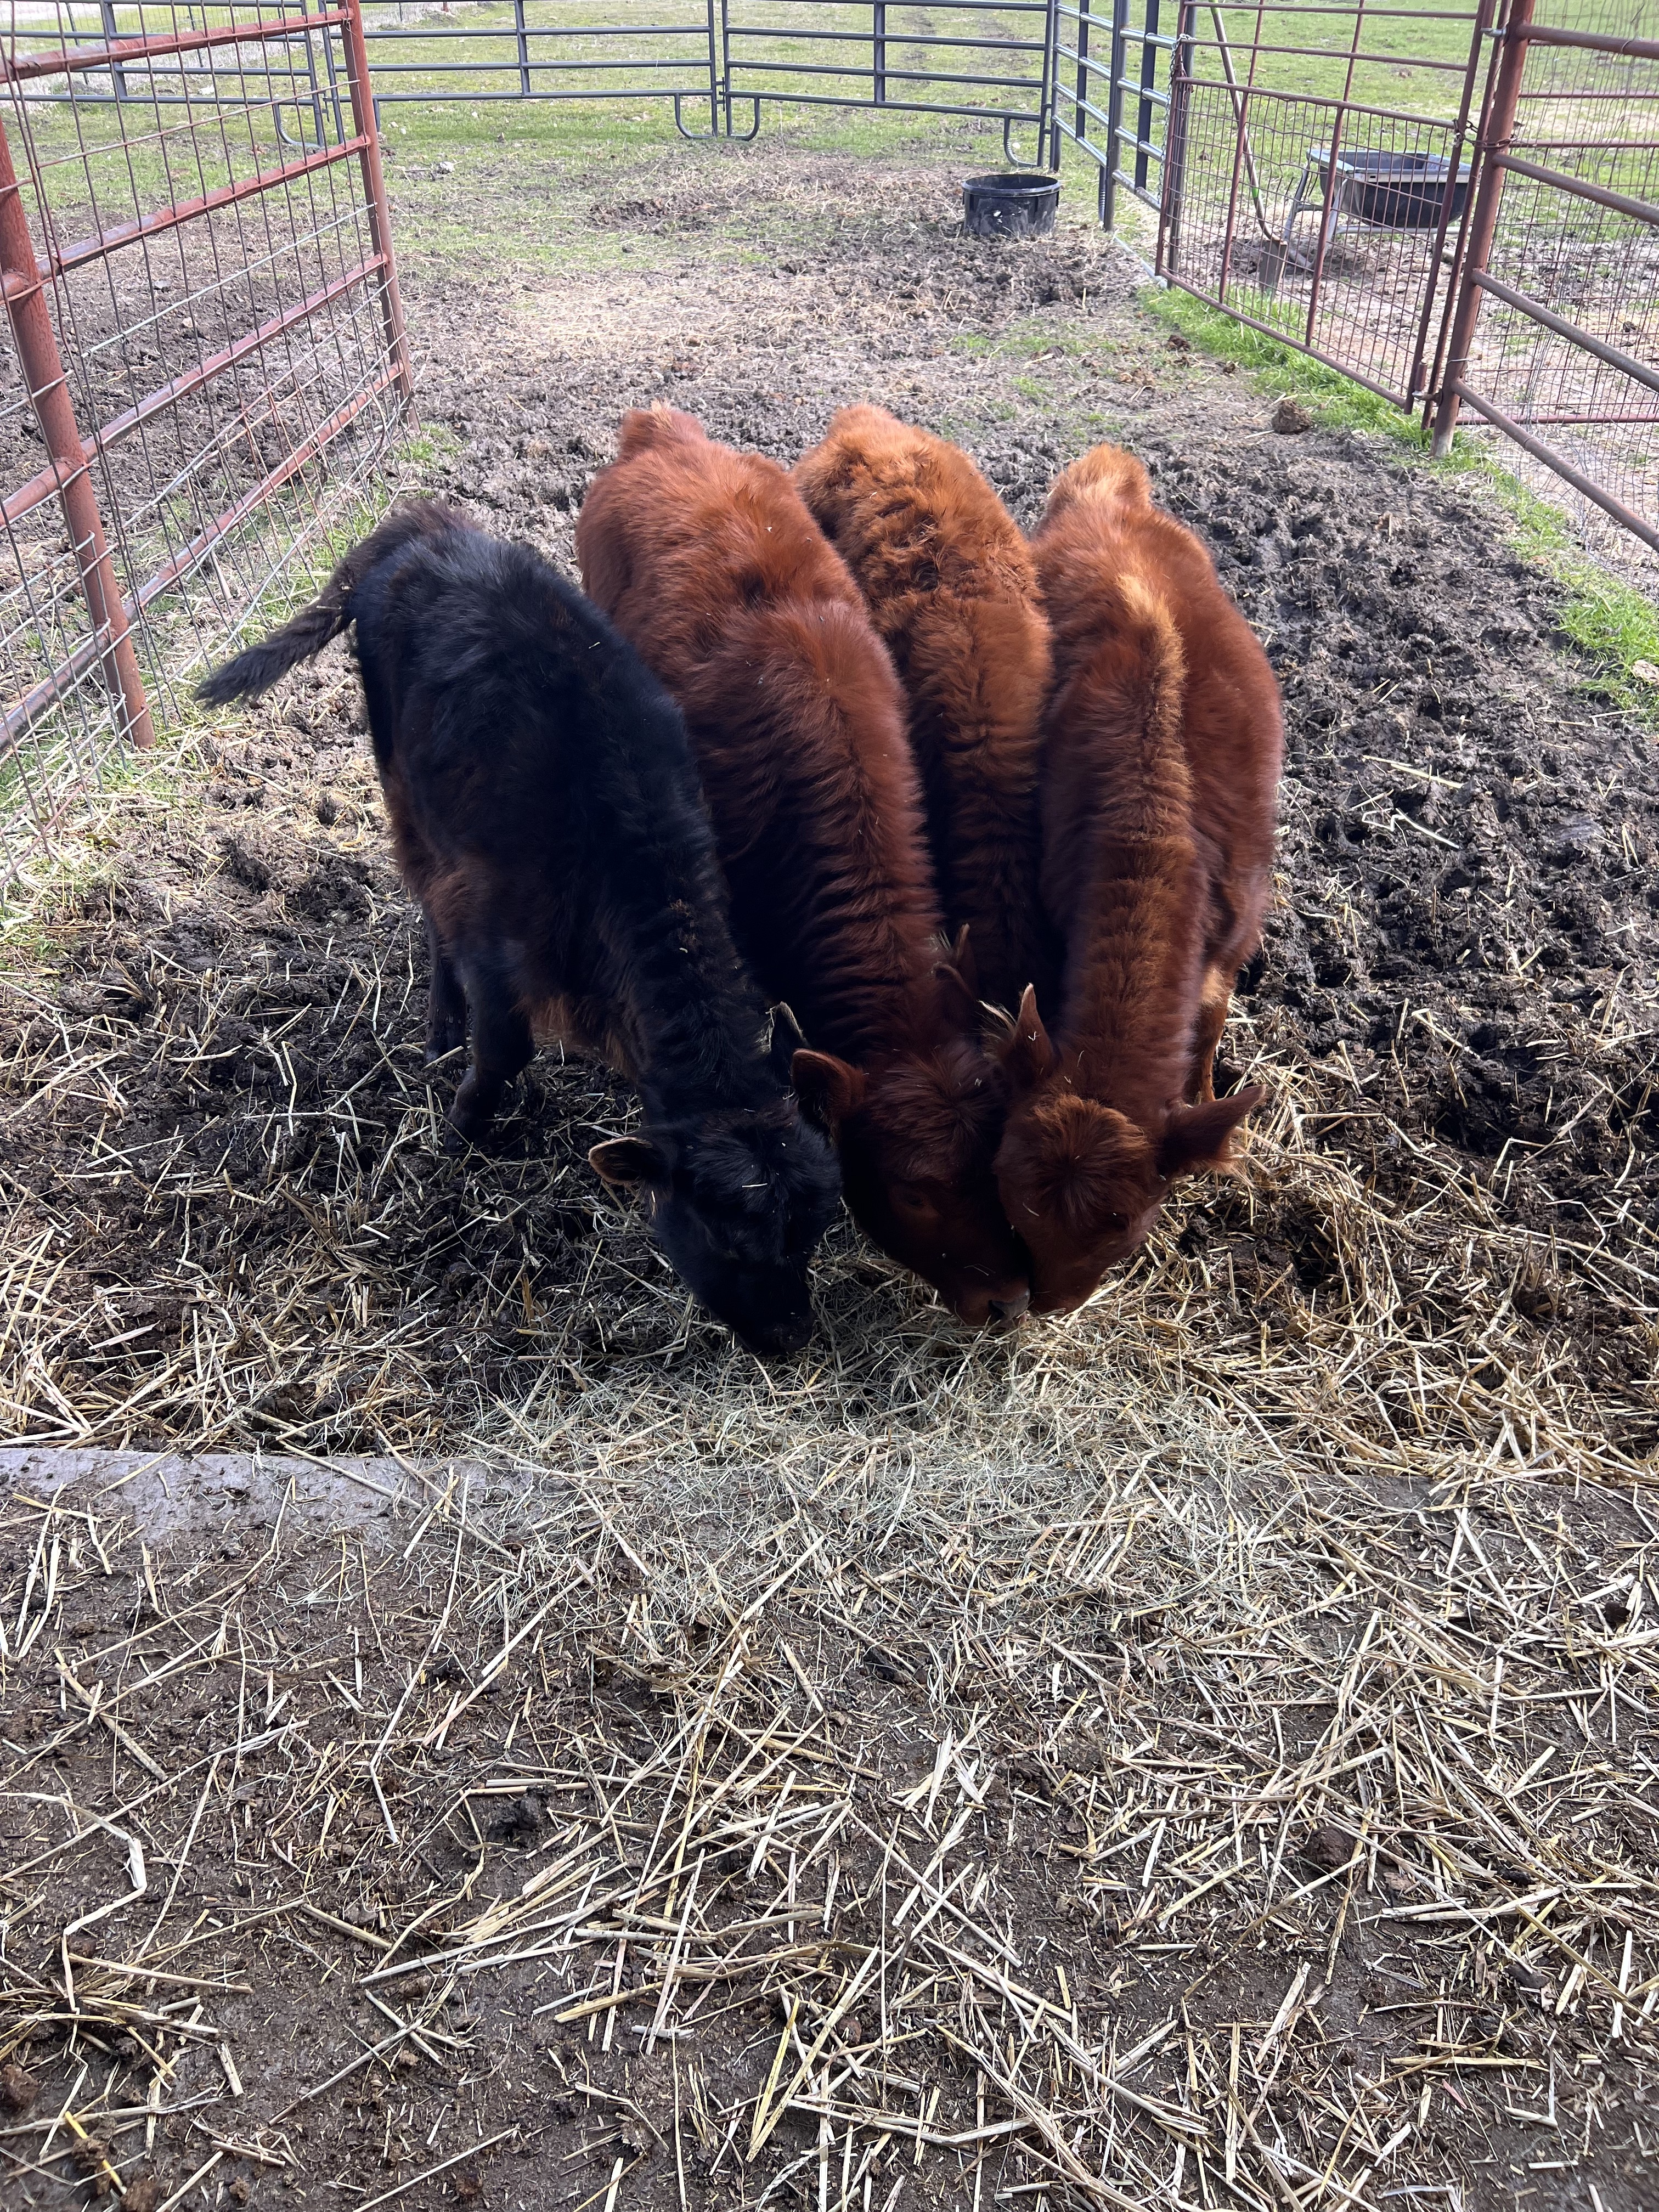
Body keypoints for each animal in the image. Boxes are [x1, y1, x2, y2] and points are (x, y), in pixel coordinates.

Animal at [196, 501, 843, 1359]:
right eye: (728, 1241)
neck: (618, 852)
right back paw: (441, 1029)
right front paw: (460, 1131)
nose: (792, 1334)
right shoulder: (494, 941)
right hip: (403, 783)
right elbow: (503, 1051)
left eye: (814, 1230)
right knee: (426, 897)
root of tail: (423, 527)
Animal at [995, 443, 1281, 1314]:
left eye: (1125, 1224)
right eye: (1010, 1199)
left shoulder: (1233, 935)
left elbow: (1210, 1028)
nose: (1045, 1304)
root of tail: (1109, 482)